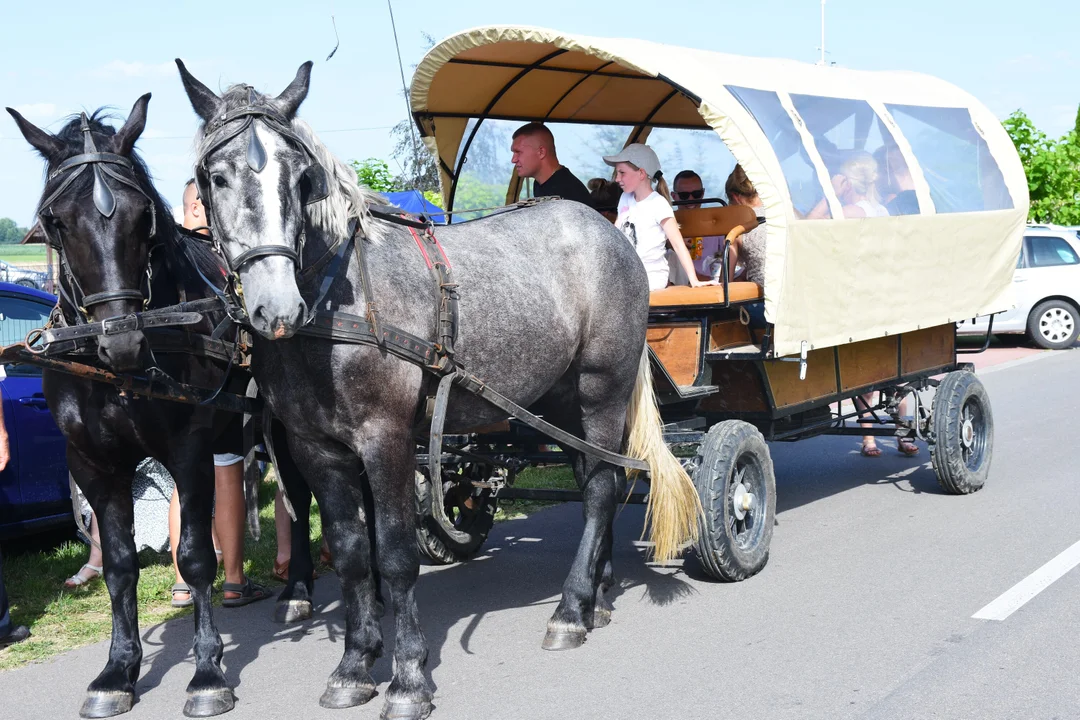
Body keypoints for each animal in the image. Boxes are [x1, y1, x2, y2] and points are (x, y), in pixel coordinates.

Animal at [4, 98, 291, 716]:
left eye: (143, 216)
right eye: (57, 221)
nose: (123, 343)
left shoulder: (189, 452)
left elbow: (197, 554)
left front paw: (207, 670)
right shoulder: (94, 464)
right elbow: (119, 564)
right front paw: (118, 670)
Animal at [177, 62, 699, 720]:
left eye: (300, 177)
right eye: (215, 177)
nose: (277, 307)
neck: (338, 304)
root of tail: (609, 232)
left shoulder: (387, 441)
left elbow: (396, 557)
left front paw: (407, 679)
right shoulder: (316, 450)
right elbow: (352, 553)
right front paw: (354, 666)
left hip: (600, 390)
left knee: (604, 488)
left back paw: (570, 611)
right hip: (558, 402)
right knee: (591, 478)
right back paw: (597, 596)